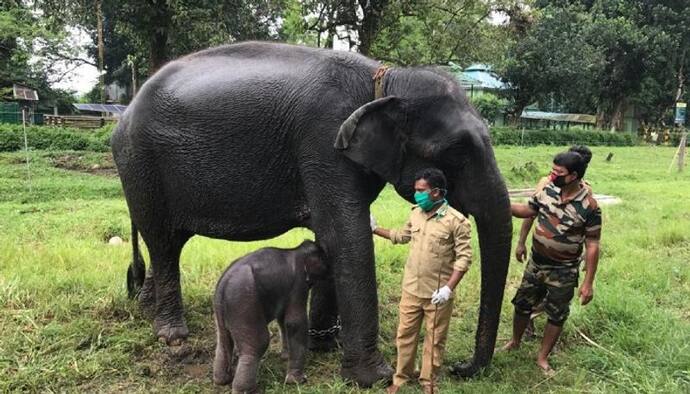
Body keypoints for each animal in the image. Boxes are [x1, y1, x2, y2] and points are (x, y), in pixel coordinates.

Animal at [211, 240, 326, 390]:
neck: (297, 249)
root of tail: (224, 282)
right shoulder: (299, 283)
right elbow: (295, 322)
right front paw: (297, 381)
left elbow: (282, 320)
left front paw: (285, 357)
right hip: (244, 303)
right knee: (258, 342)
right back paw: (246, 390)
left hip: (220, 309)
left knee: (223, 341)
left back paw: (222, 380)